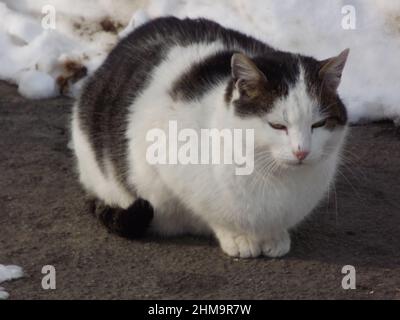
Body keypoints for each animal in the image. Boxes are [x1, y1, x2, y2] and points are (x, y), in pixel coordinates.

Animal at [70, 16, 348, 258]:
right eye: (277, 126)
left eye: (319, 124)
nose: (302, 151)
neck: (272, 174)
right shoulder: (160, 159)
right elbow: (211, 213)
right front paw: (238, 237)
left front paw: (274, 236)